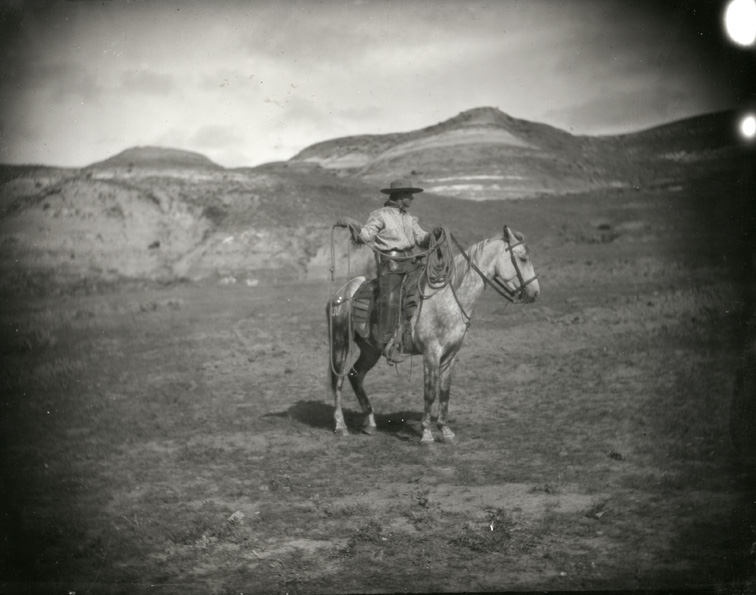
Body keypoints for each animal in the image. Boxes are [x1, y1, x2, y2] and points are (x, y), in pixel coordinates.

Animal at [326, 225, 540, 444]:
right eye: (523, 258)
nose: (534, 292)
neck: (448, 297)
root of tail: (343, 291)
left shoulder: (451, 354)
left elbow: (444, 392)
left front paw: (445, 430)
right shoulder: (431, 353)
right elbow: (429, 392)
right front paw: (427, 434)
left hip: (371, 350)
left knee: (356, 375)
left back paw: (370, 423)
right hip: (341, 342)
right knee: (338, 381)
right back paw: (341, 425)